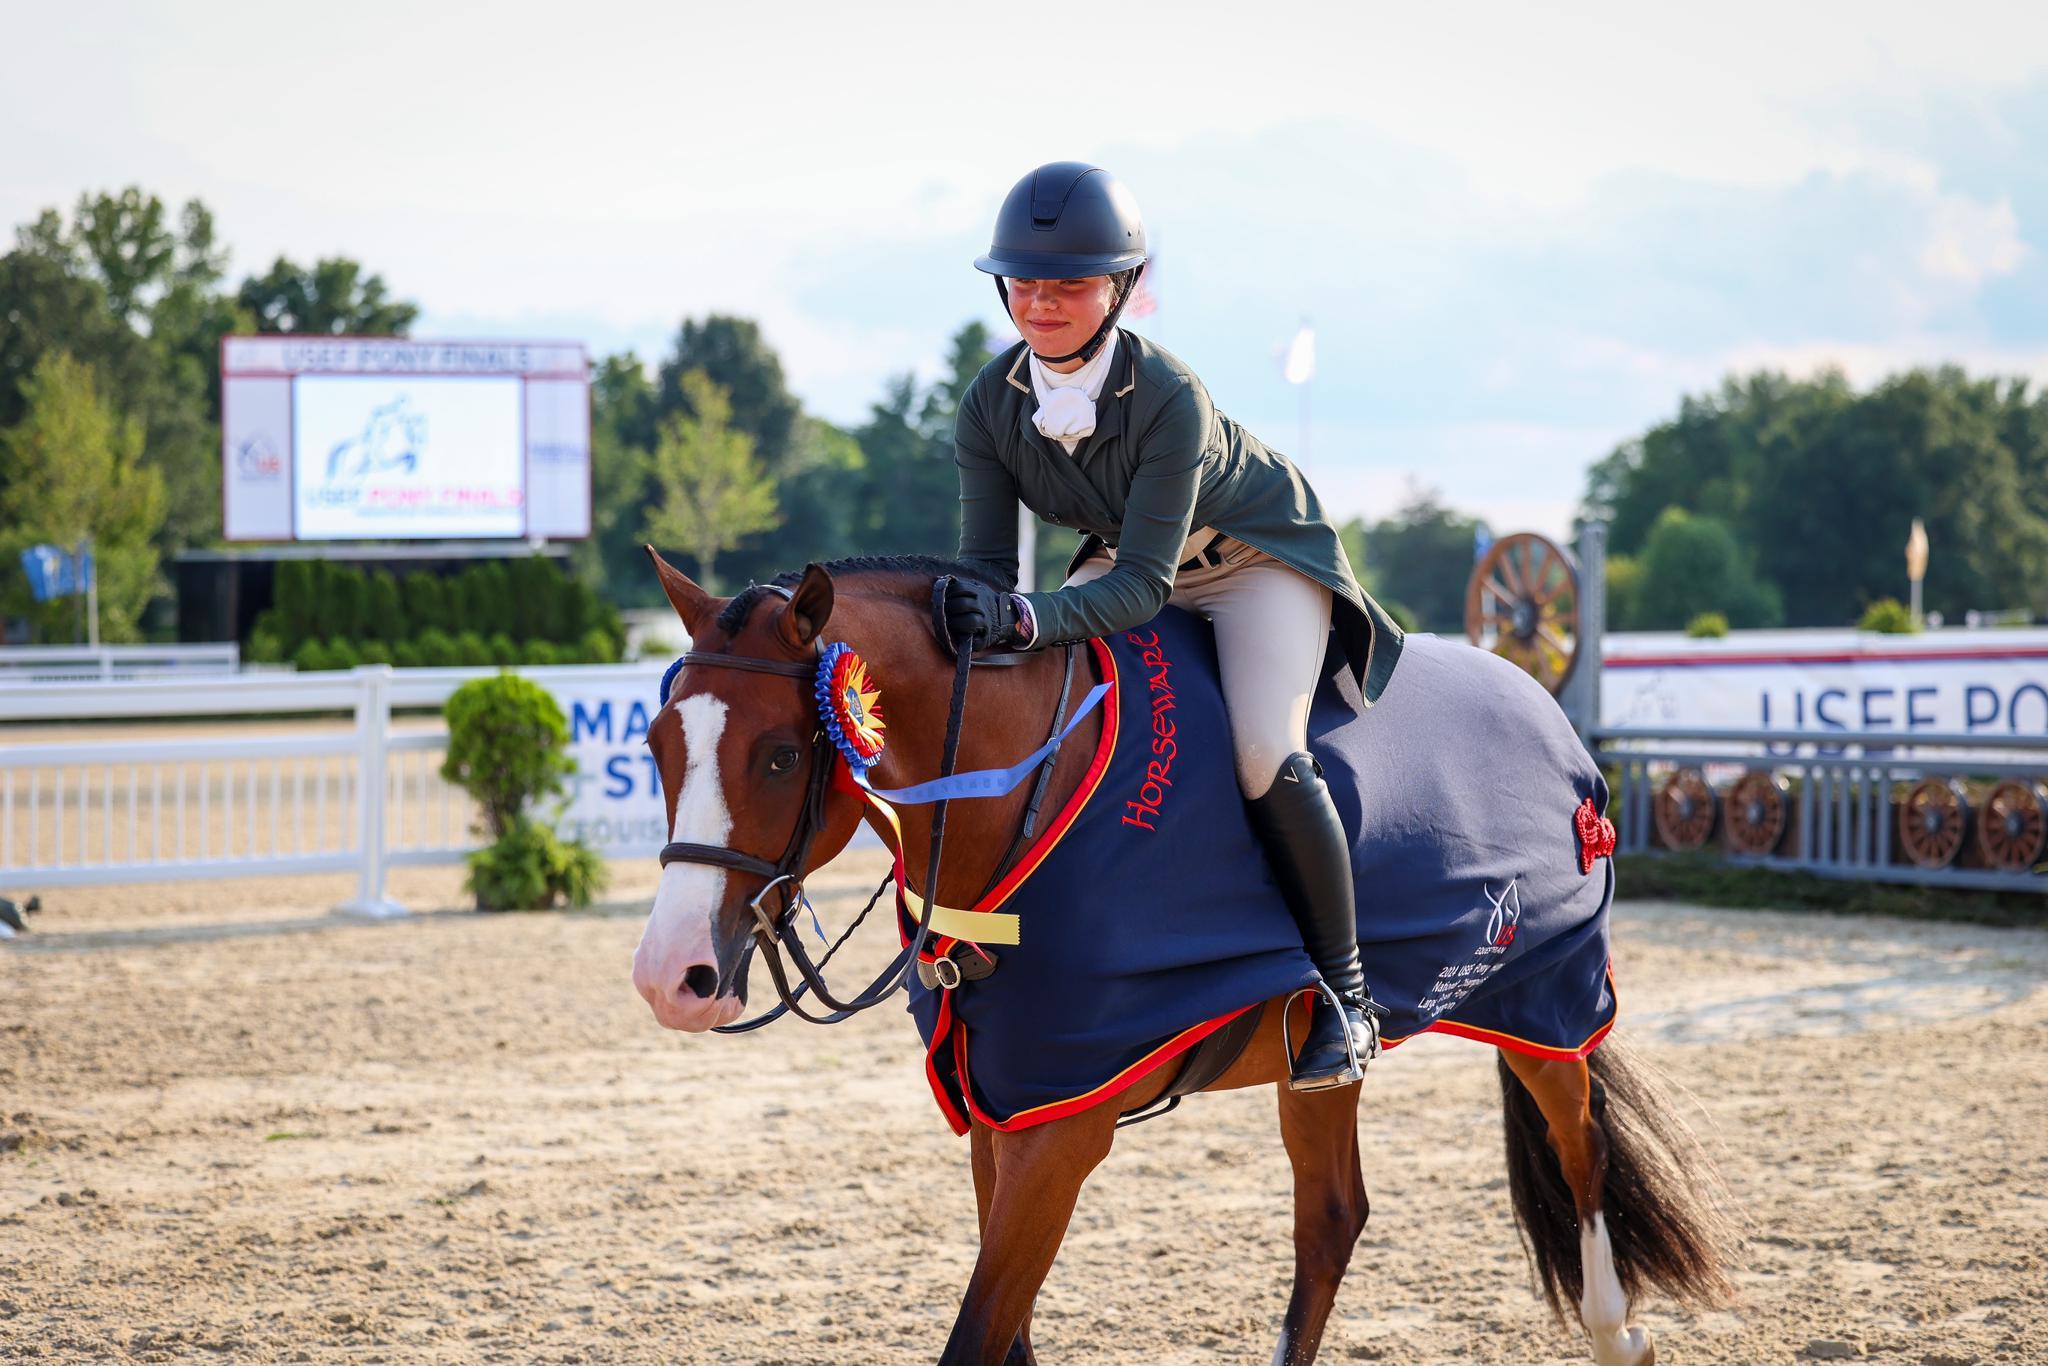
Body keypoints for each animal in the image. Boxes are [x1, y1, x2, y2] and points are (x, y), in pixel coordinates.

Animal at [631, 547, 1732, 1365]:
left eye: (781, 754)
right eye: (655, 746)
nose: (671, 978)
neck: (1025, 794)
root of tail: (1550, 716)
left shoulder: (1062, 1130)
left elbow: (977, 1338)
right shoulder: (1005, 1108)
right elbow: (1005, 1333)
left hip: (1543, 998)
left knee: (1581, 1147)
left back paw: (1616, 1331)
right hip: (1316, 1056)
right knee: (1331, 1218)